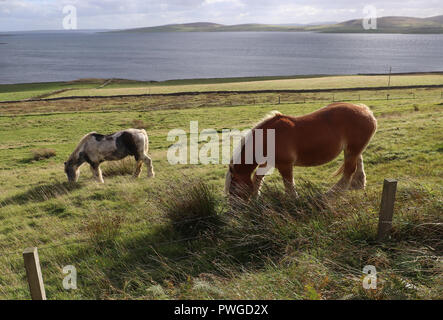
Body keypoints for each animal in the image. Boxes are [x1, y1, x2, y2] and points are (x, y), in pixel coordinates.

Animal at [225, 102, 378, 199]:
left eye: (234, 189)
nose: (234, 211)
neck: (268, 137)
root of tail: (365, 110)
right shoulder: (267, 163)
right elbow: (258, 178)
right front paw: (256, 198)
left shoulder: (285, 165)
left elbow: (288, 183)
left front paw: (294, 199)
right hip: (353, 149)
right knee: (358, 163)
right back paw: (356, 185)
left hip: (352, 150)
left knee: (349, 170)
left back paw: (332, 193)